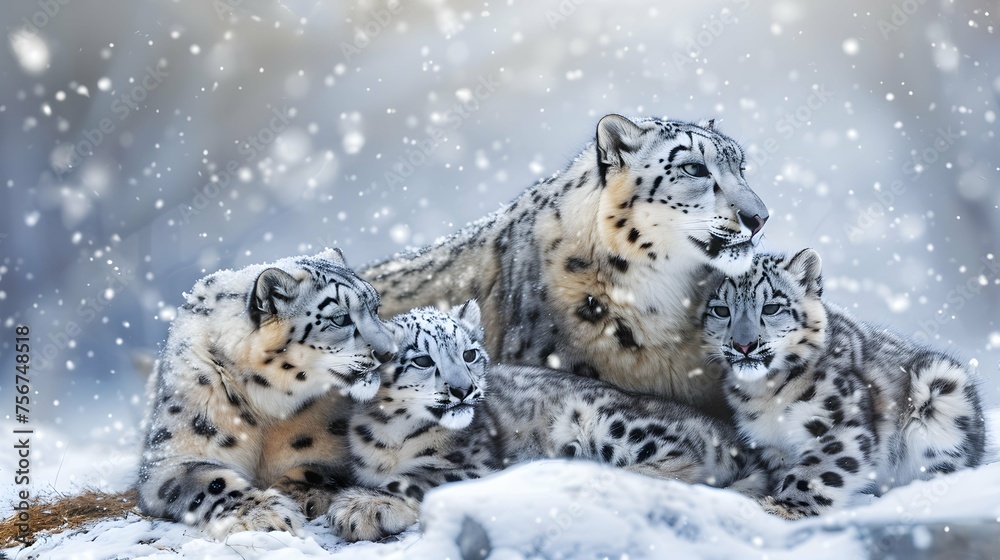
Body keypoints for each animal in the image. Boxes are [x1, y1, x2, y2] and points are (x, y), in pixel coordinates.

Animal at [136, 248, 398, 539]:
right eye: (340, 318)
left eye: (376, 308)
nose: (389, 353)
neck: (266, 407)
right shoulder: (172, 456)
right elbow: (211, 482)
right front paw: (263, 512)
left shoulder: (343, 448)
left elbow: (319, 468)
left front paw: (300, 492)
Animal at [331, 300, 766, 542]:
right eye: (422, 359)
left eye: (470, 353)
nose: (464, 389)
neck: (394, 435)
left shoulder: (475, 467)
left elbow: (418, 479)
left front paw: (359, 508)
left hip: (608, 419)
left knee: (682, 464)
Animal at [702, 248, 988, 519]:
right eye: (721, 310)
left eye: (772, 307)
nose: (744, 345)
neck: (766, 393)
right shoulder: (773, 447)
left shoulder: (840, 423)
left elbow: (815, 470)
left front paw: (785, 508)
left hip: (941, 385)